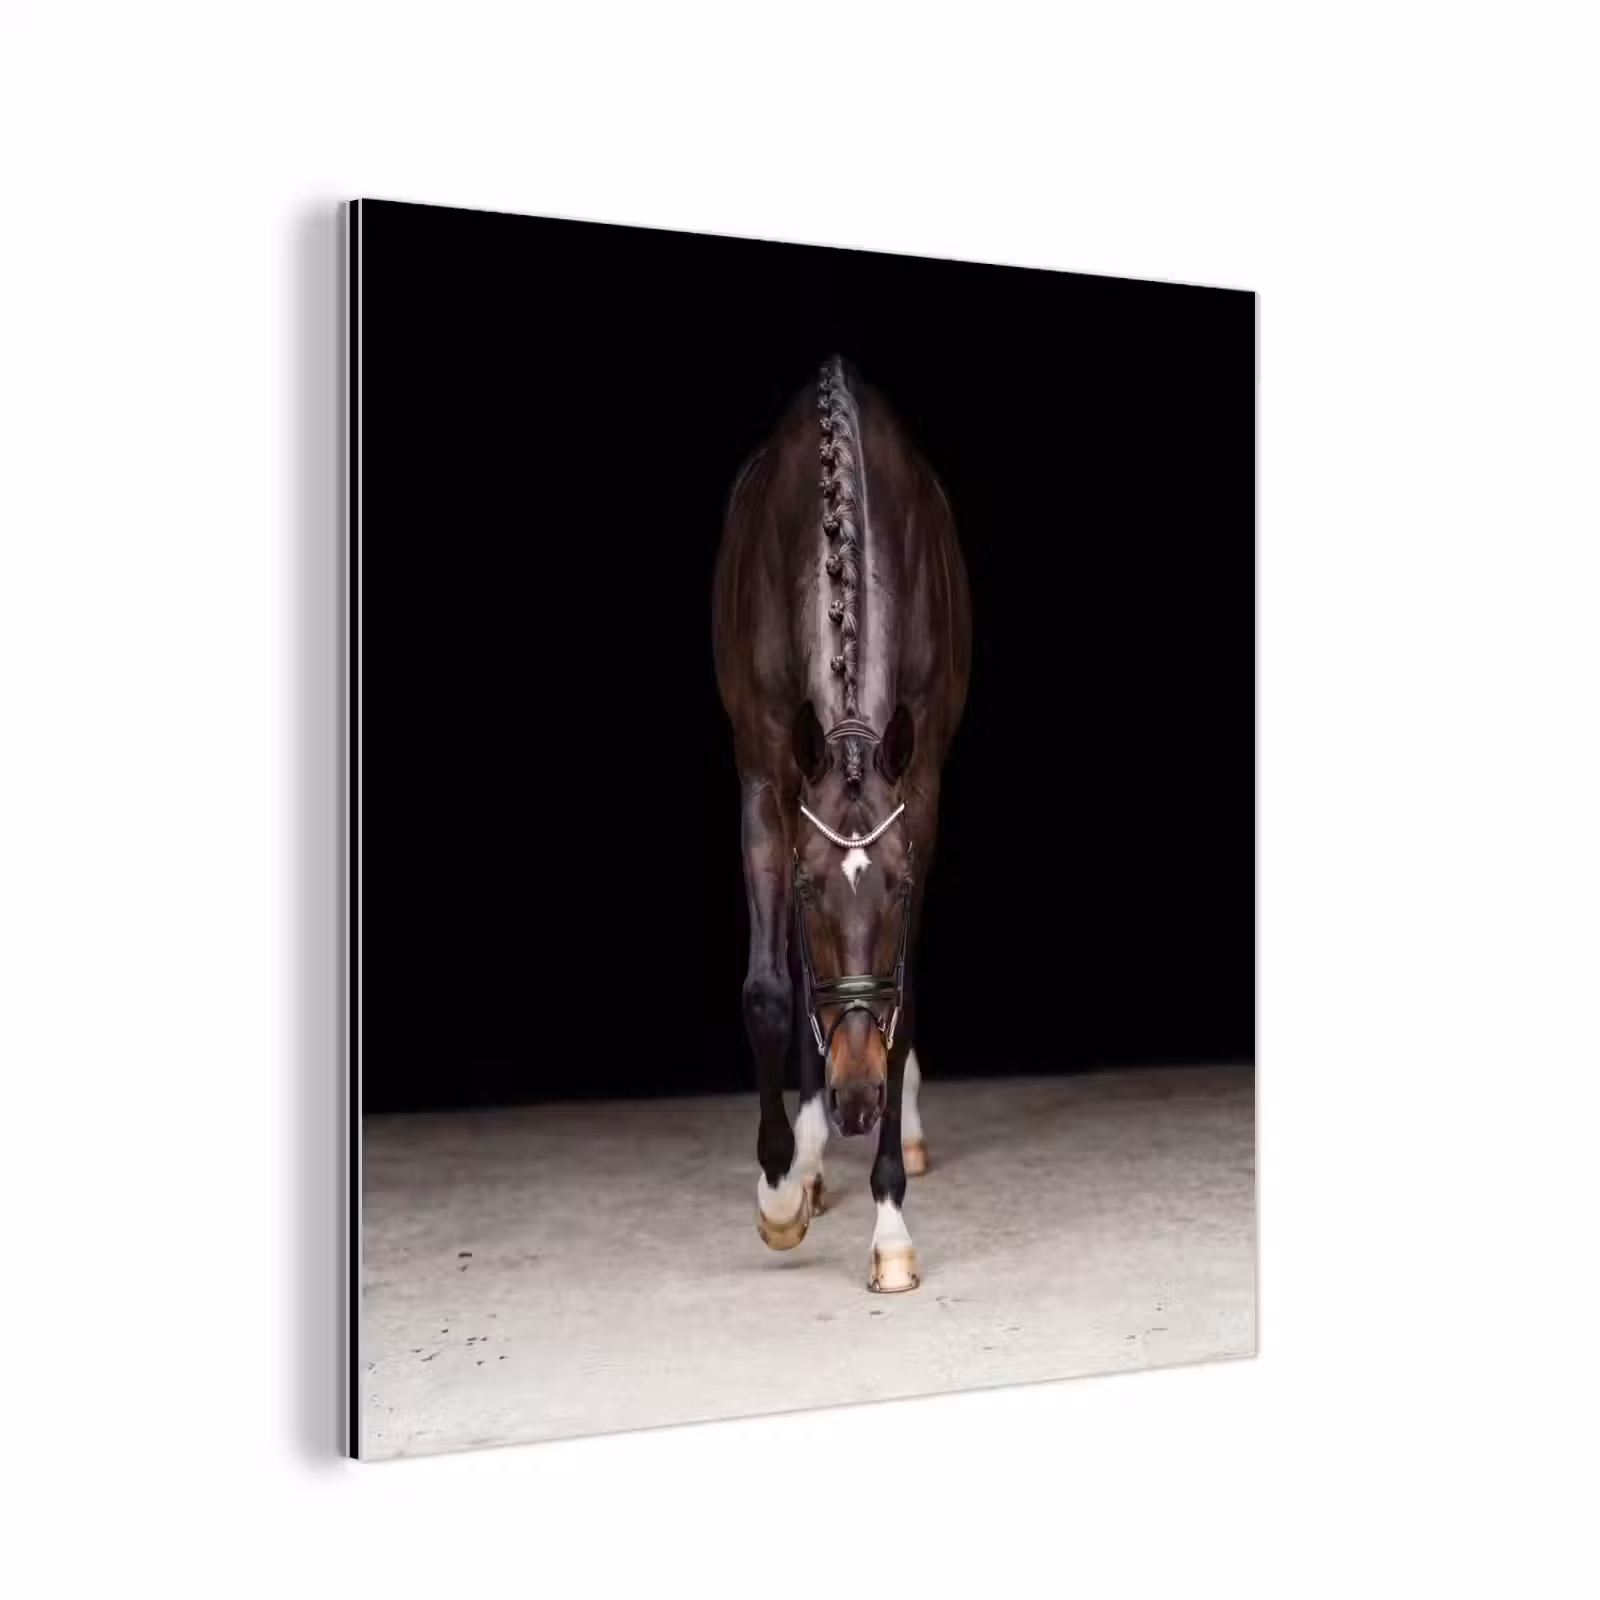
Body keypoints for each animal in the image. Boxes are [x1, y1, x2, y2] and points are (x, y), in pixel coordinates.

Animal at [712, 355, 971, 1292]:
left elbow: (904, 995)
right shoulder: (765, 779)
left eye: (894, 888)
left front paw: (891, 1224)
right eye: (815, 889)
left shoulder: (921, 788)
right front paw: (782, 1189)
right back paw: (812, 1153)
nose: (859, 1103)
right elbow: (767, 990)